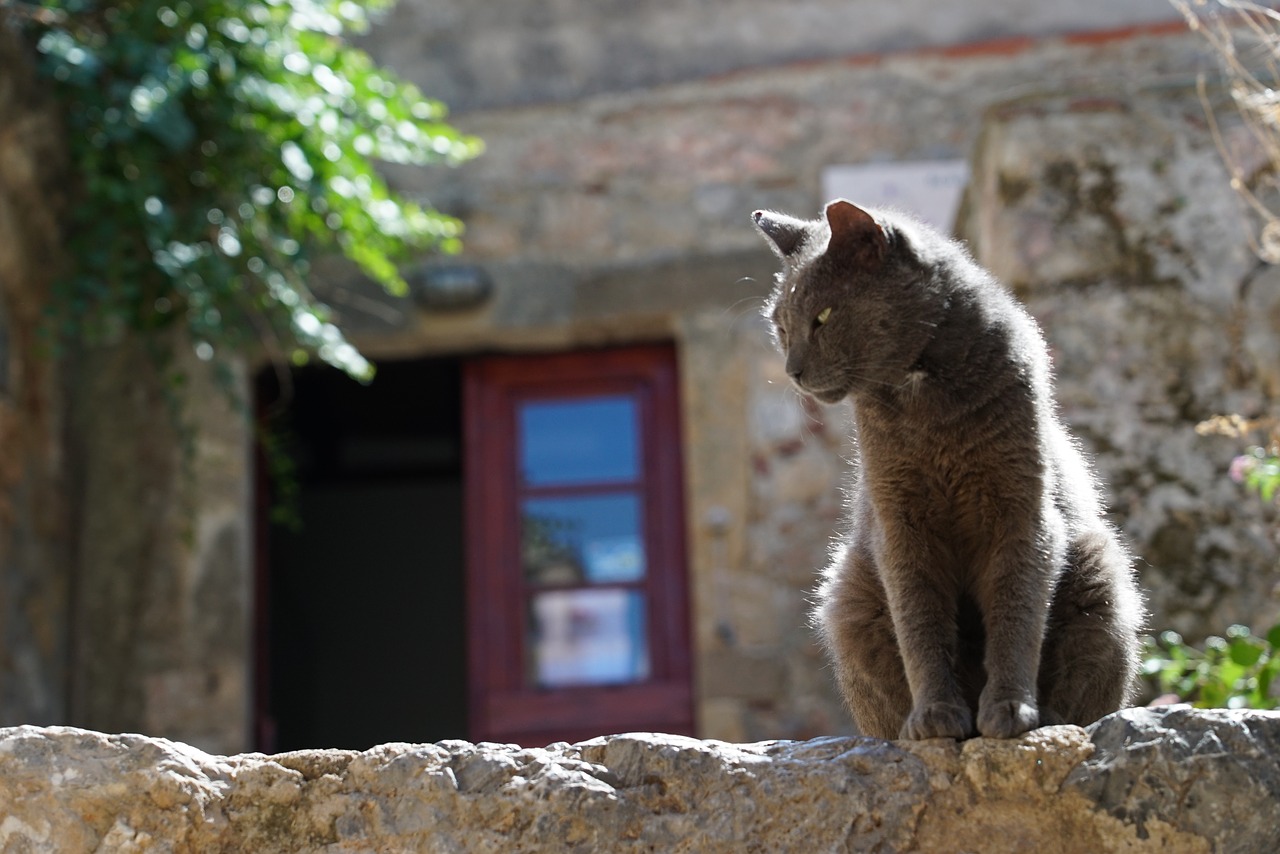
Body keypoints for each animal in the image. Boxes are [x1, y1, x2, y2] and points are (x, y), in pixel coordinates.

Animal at [747, 201, 1141, 742]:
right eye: (781, 326)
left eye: (822, 317)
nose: (792, 370)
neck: (927, 397)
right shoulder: (900, 523)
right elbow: (920, 620)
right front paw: (935, 718)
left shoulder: (1022, 512)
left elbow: (1017, 612)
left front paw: (1011, 712)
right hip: (848, 593)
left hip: (1100, 572)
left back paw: (1051, 719)